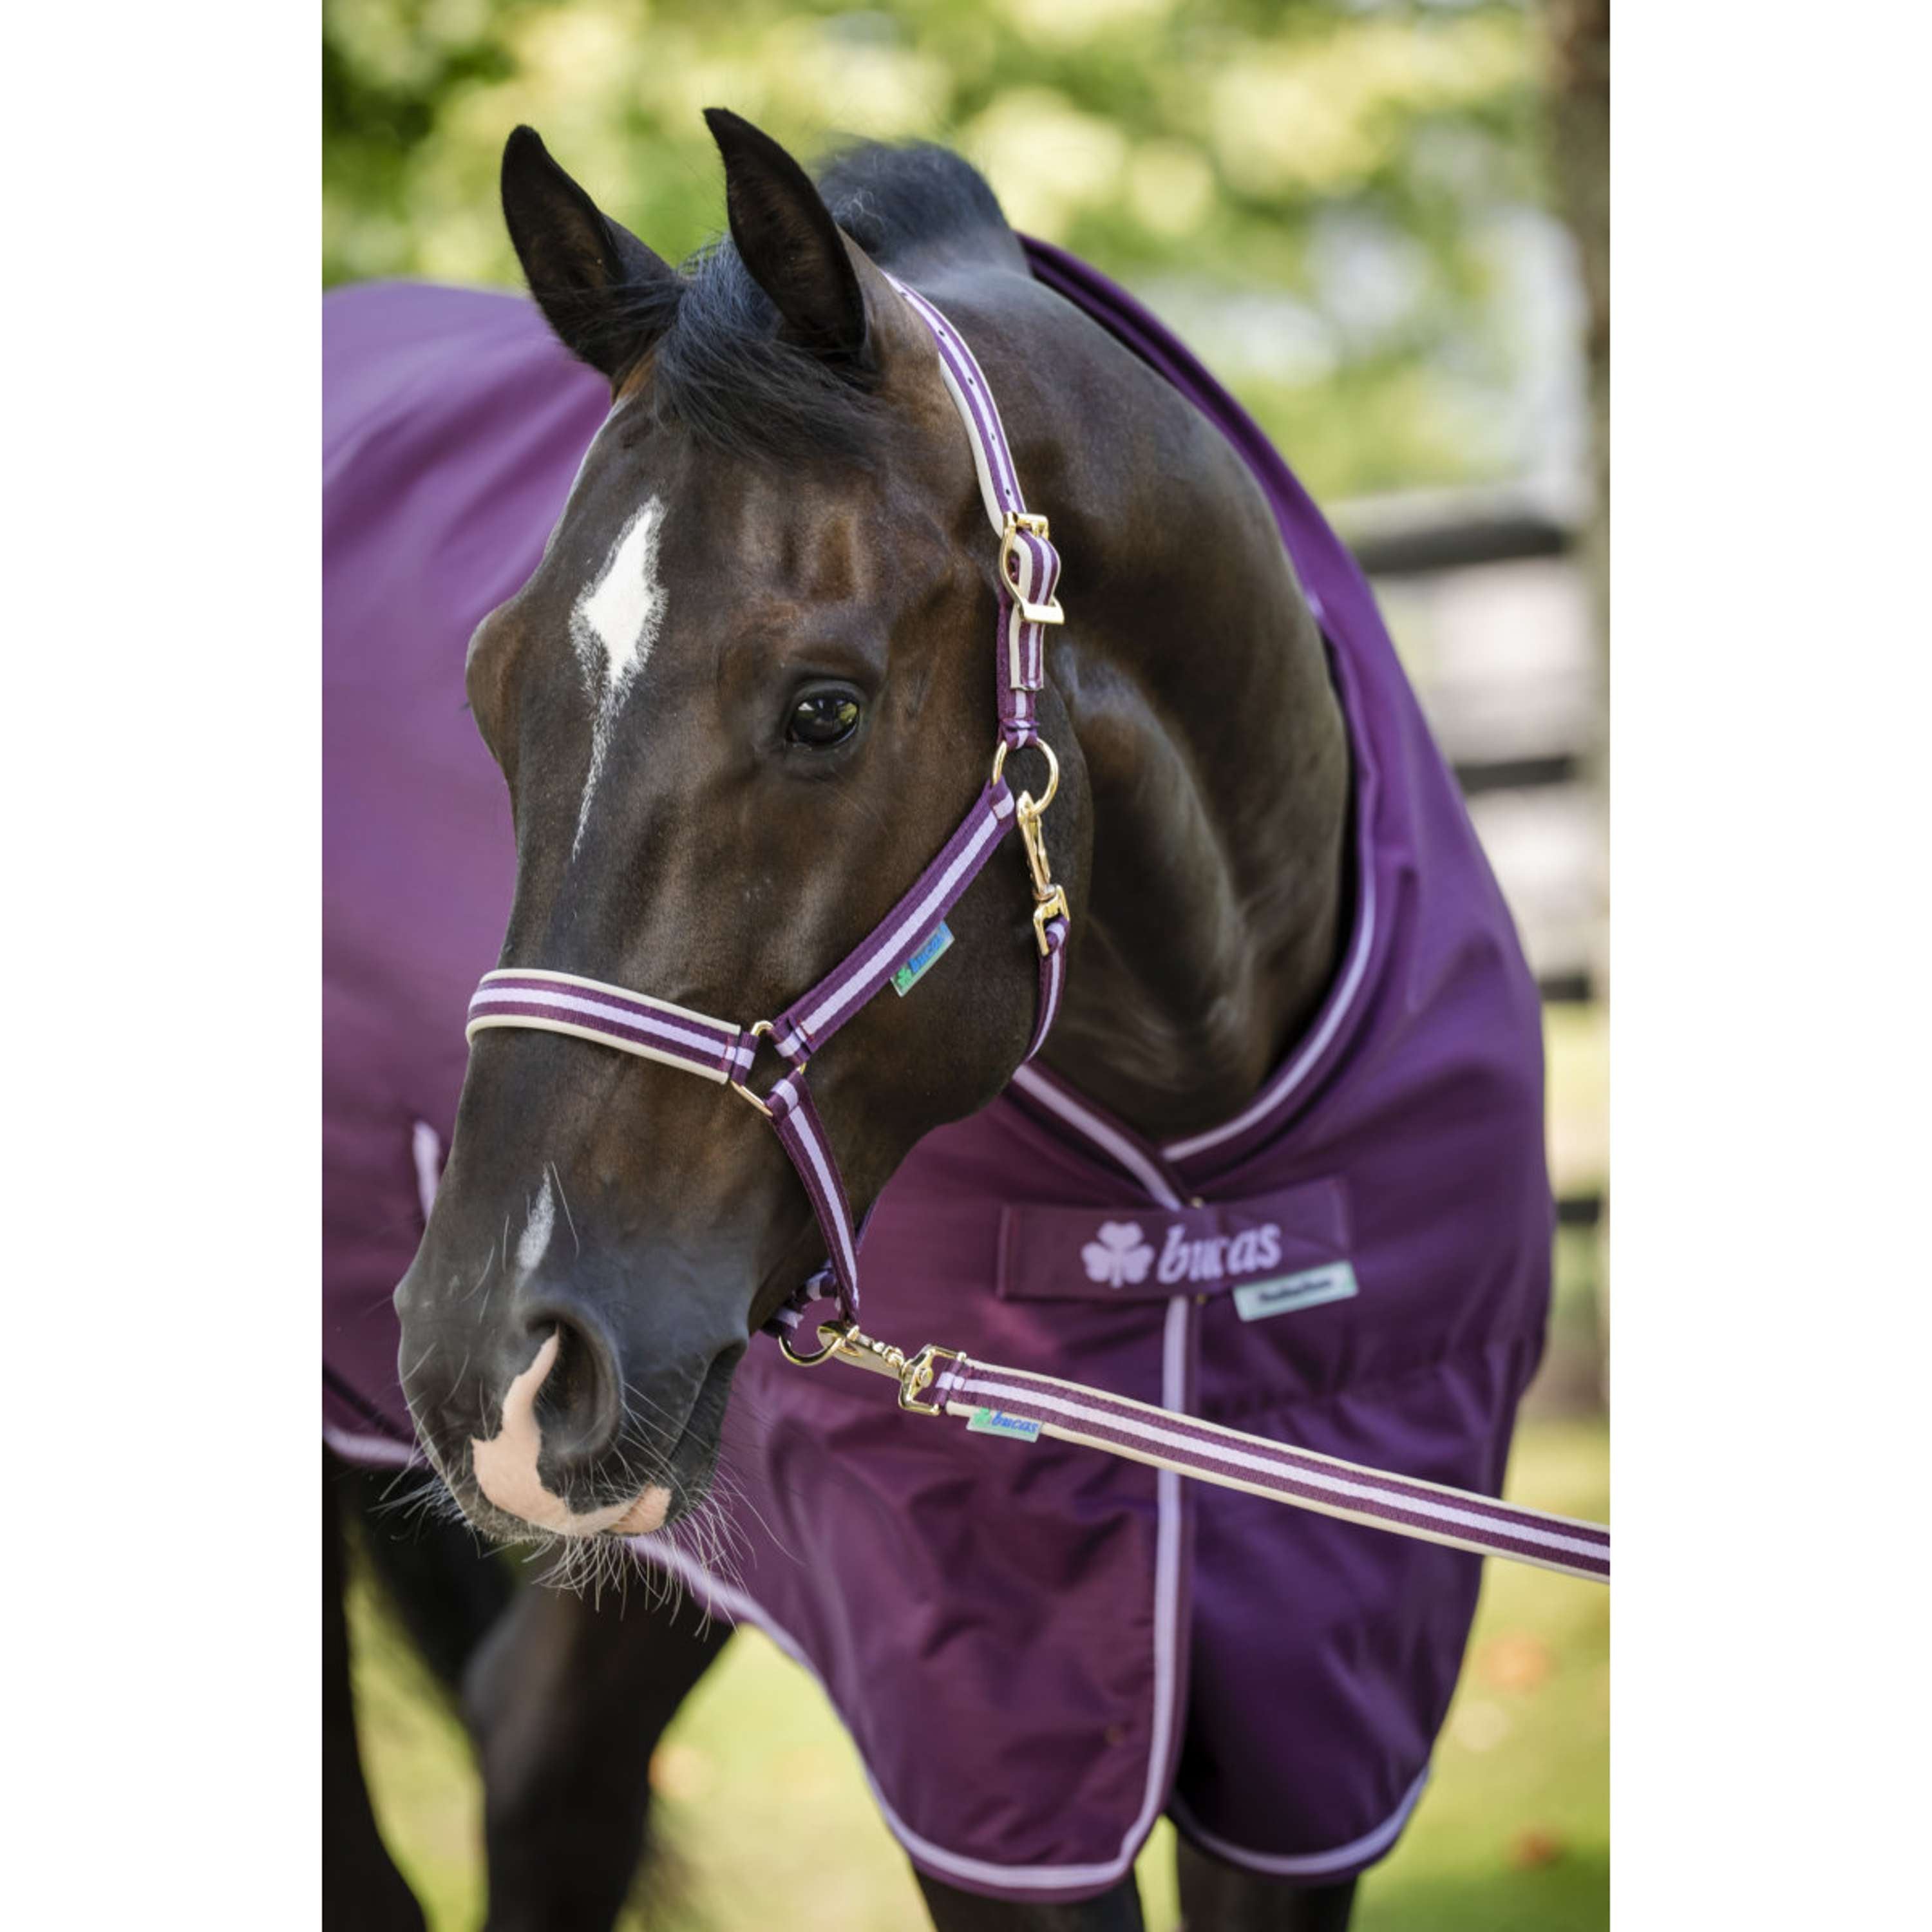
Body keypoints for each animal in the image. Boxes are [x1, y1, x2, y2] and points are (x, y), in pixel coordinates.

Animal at [323, 110, 1552, 1932]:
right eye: (487, 690)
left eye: (825, 710)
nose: (490, 1358)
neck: (1198, 1192)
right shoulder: (995, 1728)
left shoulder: (1322, 1701)